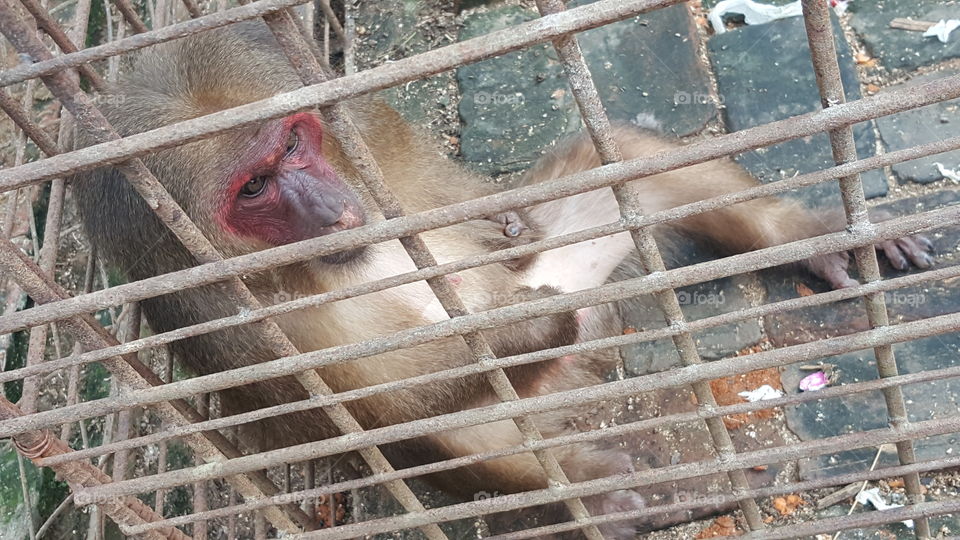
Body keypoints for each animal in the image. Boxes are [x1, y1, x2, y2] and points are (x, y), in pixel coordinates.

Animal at [70, 22, 933, 538]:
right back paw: (607, 493)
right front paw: (523, 327)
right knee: (453, 434)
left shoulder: (359, 131)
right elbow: (366, 412)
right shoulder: (215, 314)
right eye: (253, 188)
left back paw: (803, 237)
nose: (325, 203)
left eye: (292, 145)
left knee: (617, 162)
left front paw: (499, 226)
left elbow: (447, 195)